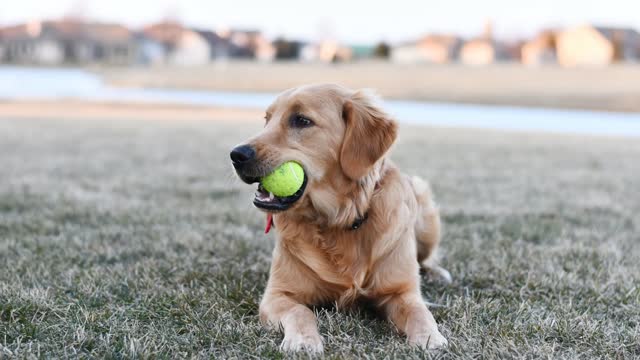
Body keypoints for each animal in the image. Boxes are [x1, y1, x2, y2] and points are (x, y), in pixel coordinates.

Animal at [231, 83, 450, 352]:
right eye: (267, 119)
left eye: (301, 120)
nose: (236, 155)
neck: (339, 220)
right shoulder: (277, 294)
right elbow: (300, 312)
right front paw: (303, 340)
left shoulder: (402, 291)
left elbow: (420, 313)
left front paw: (430, 338)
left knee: (427, 258)